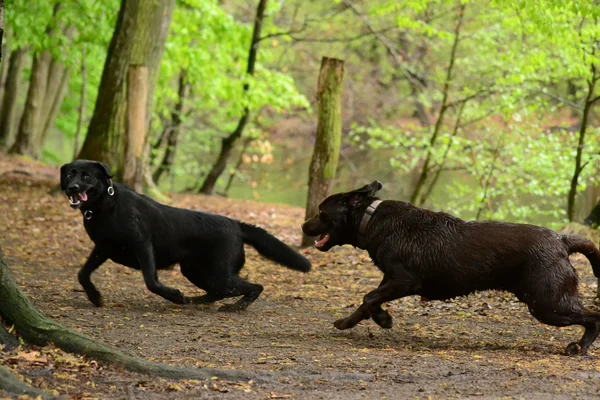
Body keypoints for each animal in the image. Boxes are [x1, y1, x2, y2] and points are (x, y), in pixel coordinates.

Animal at [61, 161, 312, 310]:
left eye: (86, 177)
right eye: (70, 175)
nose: (73, 188)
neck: (106, 206)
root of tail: (236, 224)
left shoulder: (143, 245)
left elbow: (151, 281)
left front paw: (174, 295)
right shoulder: (103, 247)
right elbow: (82, 273)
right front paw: (94, 296)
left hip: (218, 273)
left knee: (252, 287)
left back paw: (236, 306)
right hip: (195, 271)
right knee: (218, 292)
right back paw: (198, 300)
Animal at [302, 180, 600, 354]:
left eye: (320, 212)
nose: (304, 226)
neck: (370, 219)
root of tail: (562, 240)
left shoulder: (404, 281)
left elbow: (368, 297)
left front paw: (383, 320)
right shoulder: (389, 279)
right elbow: (368, 302)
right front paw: (350, 321)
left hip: (548, 304)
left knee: (594, 317)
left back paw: (580, 347)